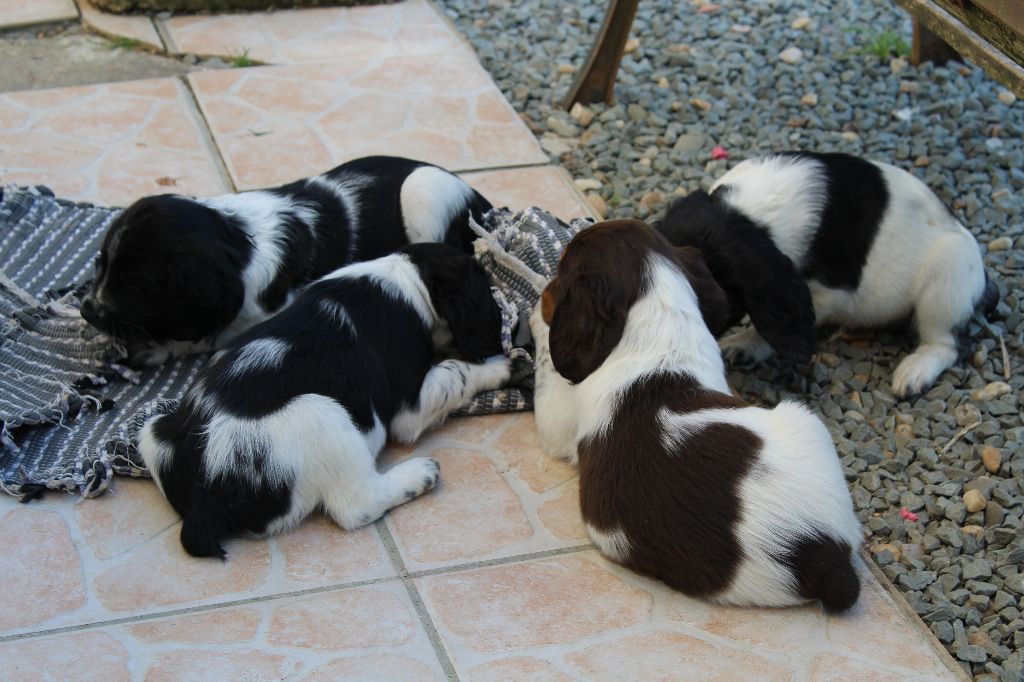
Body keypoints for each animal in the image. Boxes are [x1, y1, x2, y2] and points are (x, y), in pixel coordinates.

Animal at [138, 244, 512, 557]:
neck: (403, 276)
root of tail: (203, 499)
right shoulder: (411, 407)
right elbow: (456, 373)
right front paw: (502, 366)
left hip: (152, 428)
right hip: (321, 412)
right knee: (358, 505)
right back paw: (420, 474)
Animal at [532, 219, 860, 610]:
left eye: (561, 268)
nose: (544, 290)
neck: (659, 323)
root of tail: (823, 556)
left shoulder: (556, 420)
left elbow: (545, 366)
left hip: (806, 420)